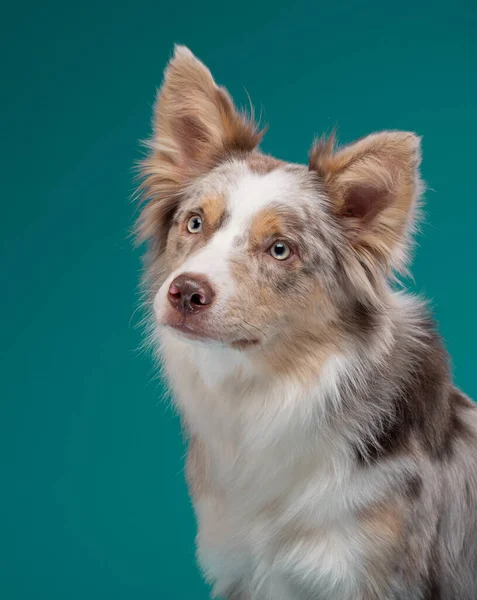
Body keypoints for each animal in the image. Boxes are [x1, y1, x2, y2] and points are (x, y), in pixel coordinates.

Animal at [137, 44, 476, 596]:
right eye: (195, 223)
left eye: (280, 250)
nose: (184, 292)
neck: (268, 392)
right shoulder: (242, 570)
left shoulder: (373, 577)